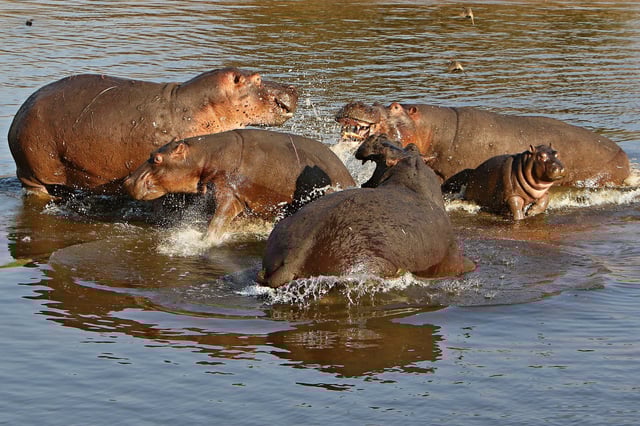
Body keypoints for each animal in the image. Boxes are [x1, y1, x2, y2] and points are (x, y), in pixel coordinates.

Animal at [124, 129, 355, 241]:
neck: (204, 156)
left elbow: (219, 219)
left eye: (157, 159)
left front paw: (205, 241)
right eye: (152, 152)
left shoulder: (230, 192)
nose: (127, 181)